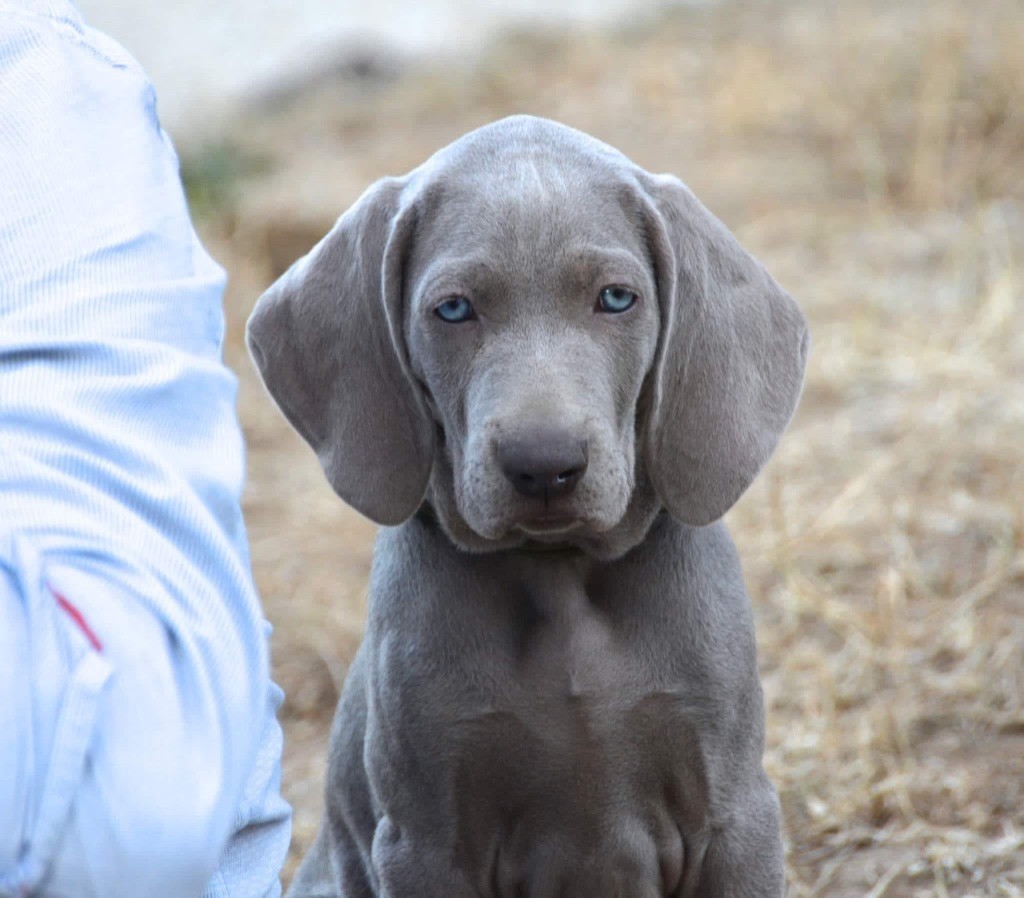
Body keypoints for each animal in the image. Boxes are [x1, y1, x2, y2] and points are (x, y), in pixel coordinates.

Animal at [245, 115, 806, 892]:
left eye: (616, 298)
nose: (545, 466)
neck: (560, 572)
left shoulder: (735, 816)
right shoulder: (424, 844)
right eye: (453, 309)